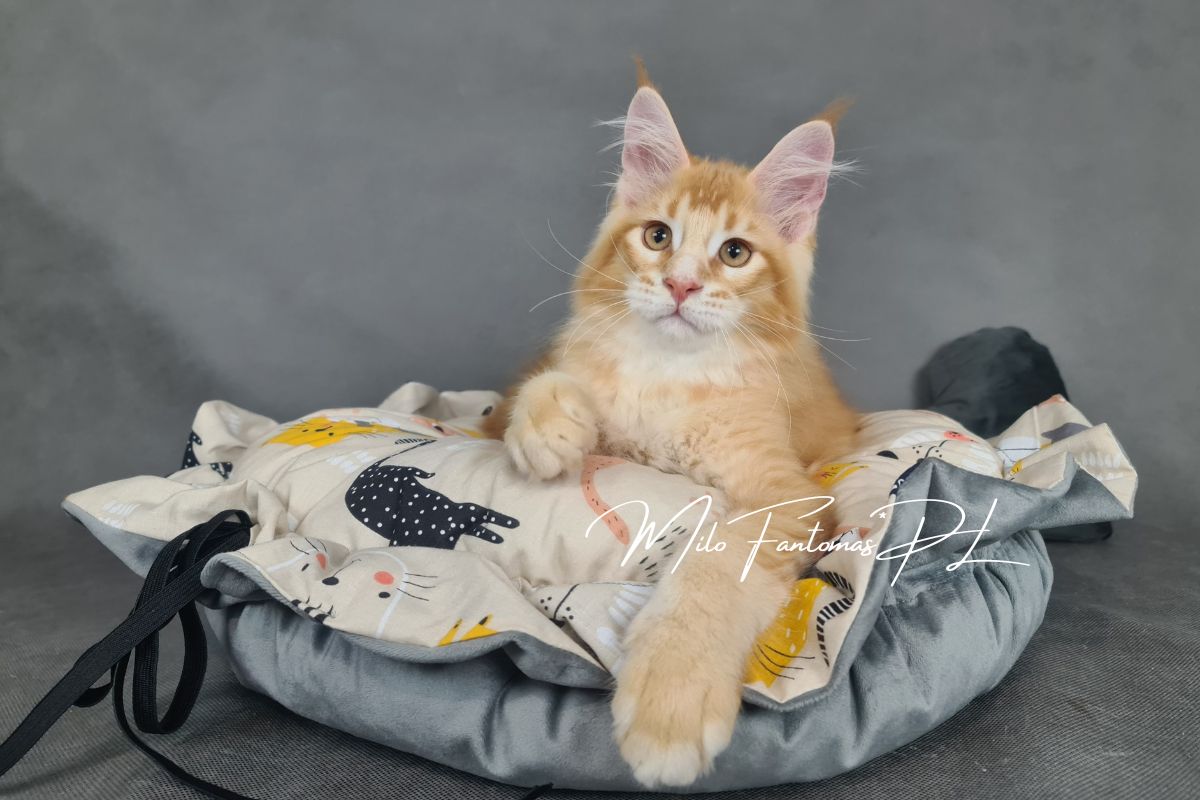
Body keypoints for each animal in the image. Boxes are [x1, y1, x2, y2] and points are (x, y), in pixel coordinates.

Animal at [481, 62, 859, 787]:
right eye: (658, 236)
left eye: (735, 253)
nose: (681, 286)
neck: (668, 374)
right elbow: (537, 388)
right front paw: (550, 424)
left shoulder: (789, 495)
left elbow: (717, 561)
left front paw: (669, 699)